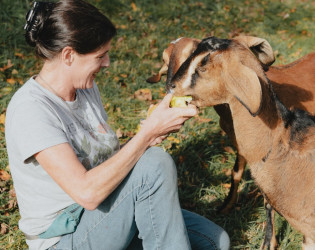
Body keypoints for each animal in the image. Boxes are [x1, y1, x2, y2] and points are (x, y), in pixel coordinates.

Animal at [148, 37, 315, 250]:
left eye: (202, 65)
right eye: (165, 58)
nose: (171, 86)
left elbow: (266, 201)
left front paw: (268, 242)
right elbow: (236, 172)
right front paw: (226, 205)